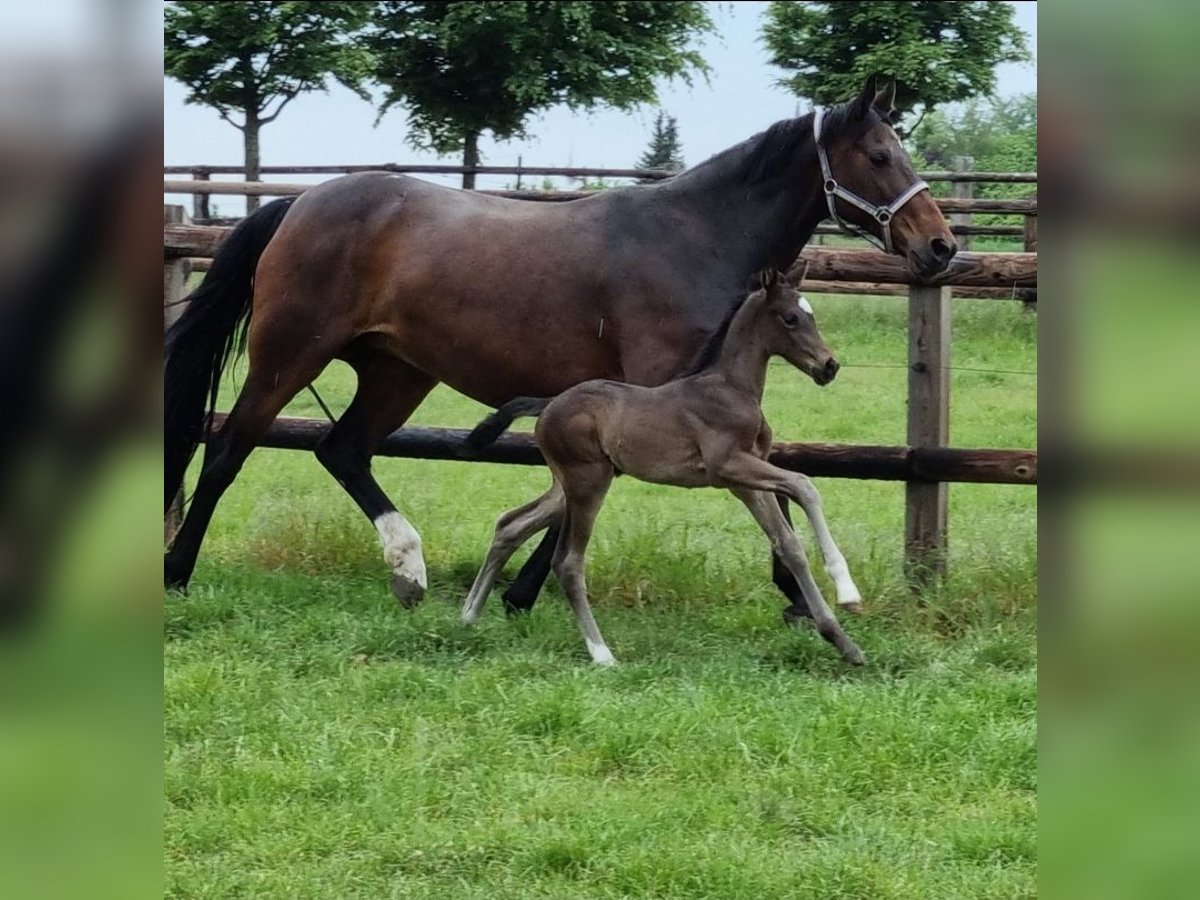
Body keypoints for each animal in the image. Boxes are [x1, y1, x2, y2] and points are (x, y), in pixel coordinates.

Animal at [458, 271, 864, 667]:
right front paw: (847, 590)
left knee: (511, 524)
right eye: (791, 318)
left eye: (811, 316)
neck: (730, 388)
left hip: (569, 484)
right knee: (568, 562)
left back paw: (468, 617)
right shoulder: (728, 466)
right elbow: (804, 484)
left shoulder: (745, 481)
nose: (829, 366)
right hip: (588, 482)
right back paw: (602, 655)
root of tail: (549, 404)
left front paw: (843, 642)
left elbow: (788, 543)